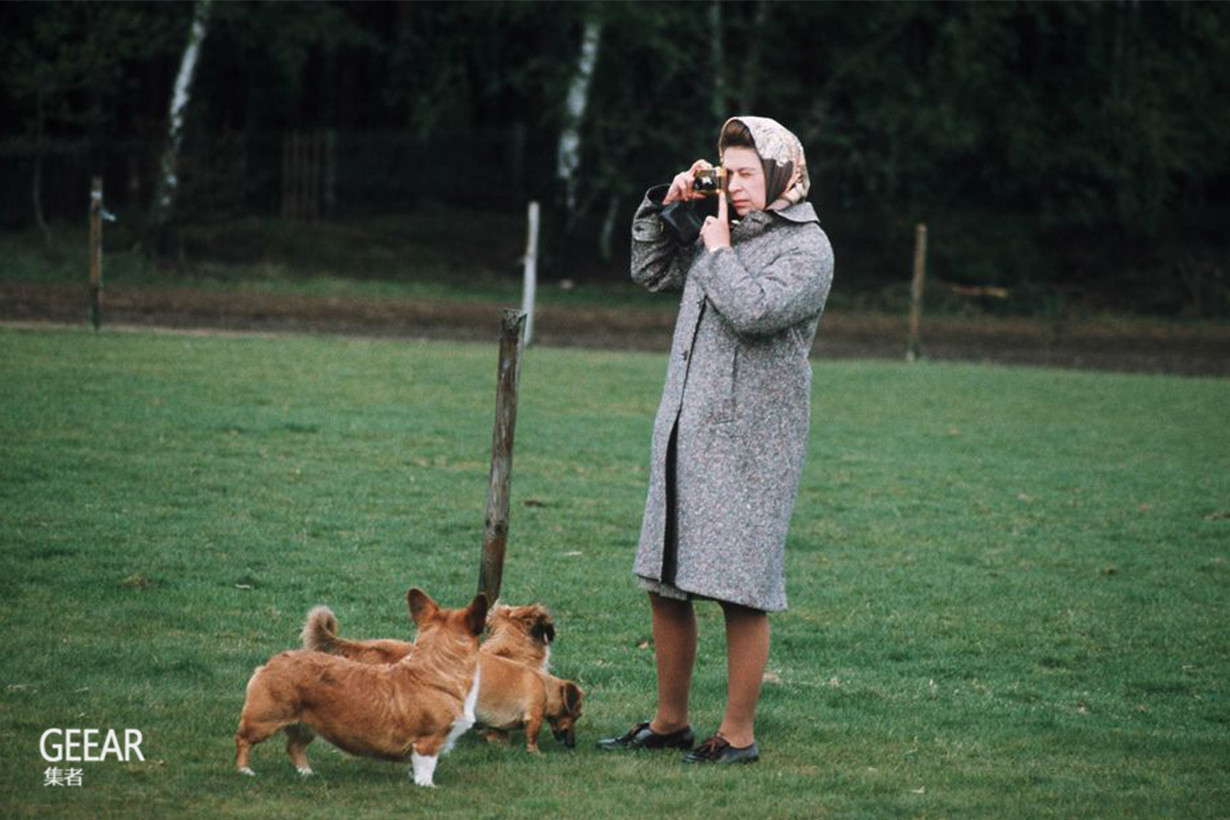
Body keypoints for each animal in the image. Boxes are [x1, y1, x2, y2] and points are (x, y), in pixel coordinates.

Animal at [234, 587, 484, 786]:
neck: (435, 670)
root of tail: (270, 663)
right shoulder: (427, 742)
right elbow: (426, 767)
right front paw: (427, 786)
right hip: (264, 719)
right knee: (243, 739)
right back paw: (245, 771)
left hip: (307, 725)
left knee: (294, 747)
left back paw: (307, 772)